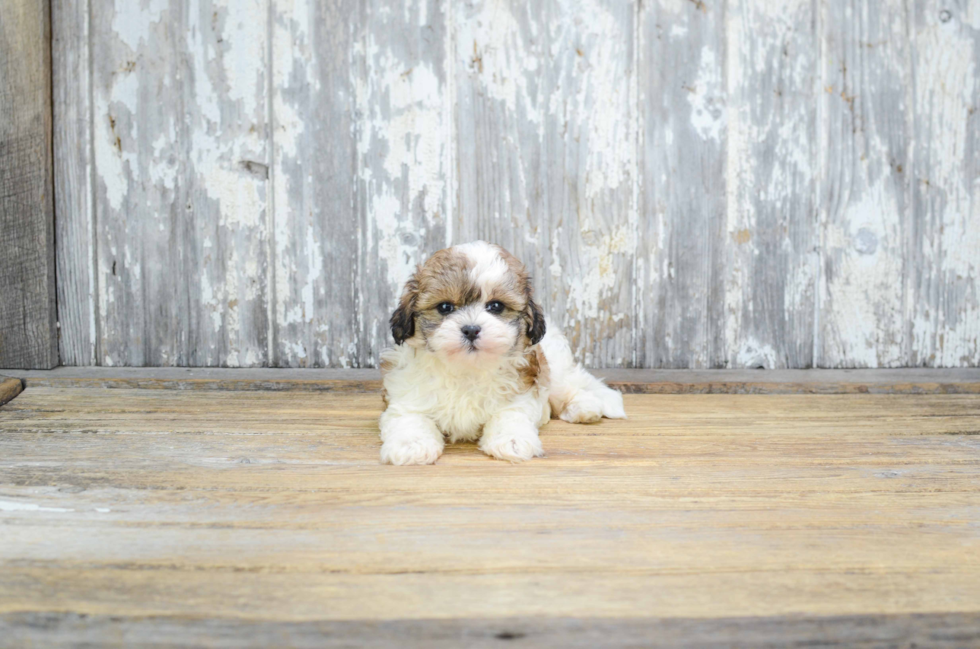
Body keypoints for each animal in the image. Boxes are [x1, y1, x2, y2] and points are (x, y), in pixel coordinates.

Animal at [378, 240, 624, 464]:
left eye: (495, 306)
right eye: (445, 307)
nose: (471, 329)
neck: (467, 369)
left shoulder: (521, 394)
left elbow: (509, 416)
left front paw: (512, 441)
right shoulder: (406, 396)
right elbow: (410, 418)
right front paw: (412, 445)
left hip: (555, 366)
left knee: (567, 387)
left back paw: (584, 407)